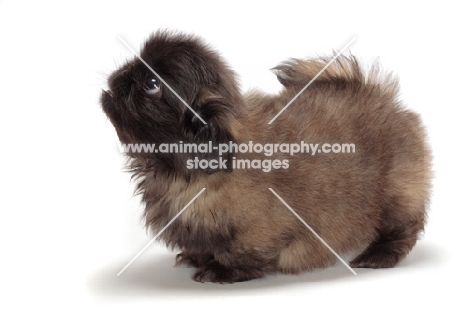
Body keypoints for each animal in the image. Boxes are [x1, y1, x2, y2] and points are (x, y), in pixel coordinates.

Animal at [100, 30, 434, 284]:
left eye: (151, 84)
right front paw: (197, 257)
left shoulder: (258, 230)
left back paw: (379, 255)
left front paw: (221, 270)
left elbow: (244, 252)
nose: (120, 76)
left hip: (397, 195)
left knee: (403, 228)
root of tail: (381, 99)